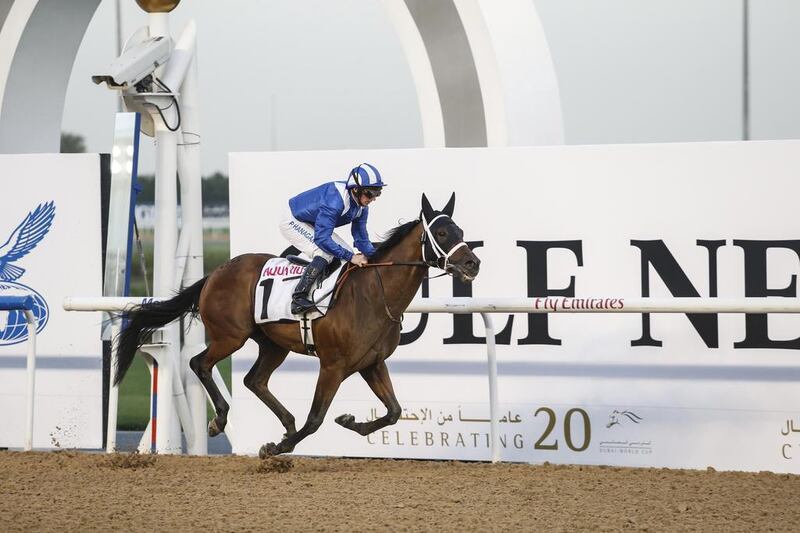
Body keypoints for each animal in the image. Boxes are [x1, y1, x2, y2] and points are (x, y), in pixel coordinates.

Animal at [115, 193, 478, 456]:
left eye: (461, 232)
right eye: (442, 233)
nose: (472, 263)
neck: (374, 293)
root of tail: (216, 272)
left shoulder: (372, 363)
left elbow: (393, 411)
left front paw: (348, 421)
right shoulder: (333, 365)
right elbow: (316, 418)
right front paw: (279, 447)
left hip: (273, 344)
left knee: (254, 380)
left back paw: (286, 422)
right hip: (230, 336)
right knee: (199, 363)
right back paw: (220, 420)